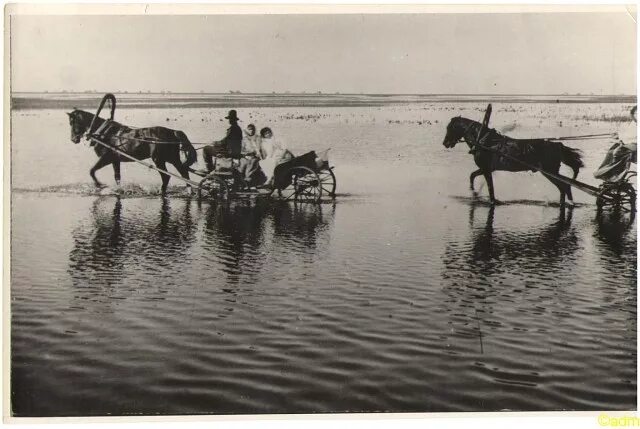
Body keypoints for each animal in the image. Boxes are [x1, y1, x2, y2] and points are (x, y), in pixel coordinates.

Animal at [67, 108, 198, 192]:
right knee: (184, 172)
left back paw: (162, 191)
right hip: (172, 158)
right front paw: (118, 189)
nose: (73, 139)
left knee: (167, 177)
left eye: (72, 122)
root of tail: (173, 131)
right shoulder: (115, 160)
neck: (105, 133)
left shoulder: (106, 158)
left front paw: (99, 185)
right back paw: (189, 190)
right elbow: (117, 177)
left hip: (159, 160)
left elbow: (92, 170)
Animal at [442, 116, 584, 205]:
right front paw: (473, 191)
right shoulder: (486, 169)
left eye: (449, 128)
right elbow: (472, 176)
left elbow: (490, 188)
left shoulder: (486, 169)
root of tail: (557, 145)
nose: (445, 143)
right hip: (551, 172)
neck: (483, 140)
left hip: (549, 171)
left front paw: (491, 200)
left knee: (565, 186)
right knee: (564, 187)